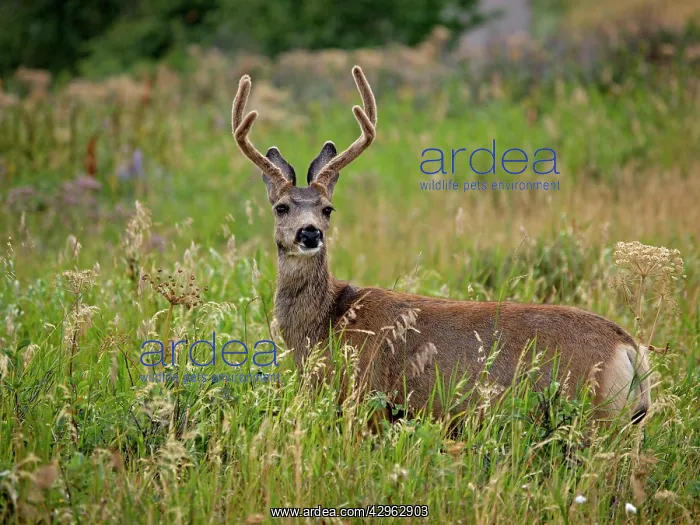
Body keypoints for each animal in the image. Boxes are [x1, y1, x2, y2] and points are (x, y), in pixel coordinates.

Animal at [230, 66, 652, 427]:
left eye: (327, 209)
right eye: (281, 207)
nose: (309, 233)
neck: (325, 324)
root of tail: (630, 349)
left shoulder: (367, 400)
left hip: (592, 414)